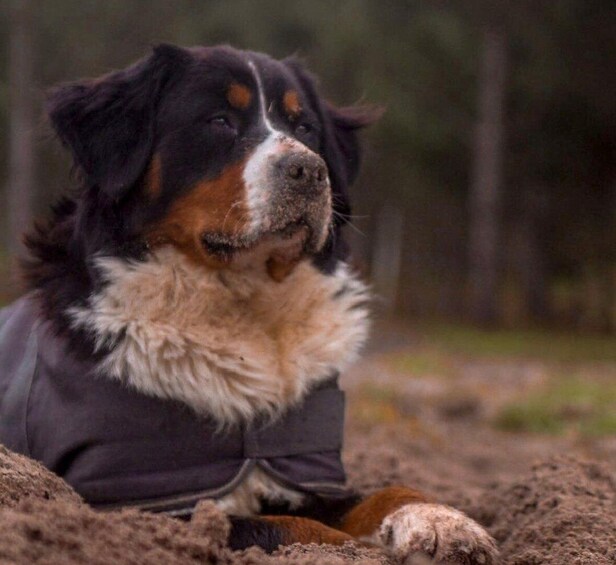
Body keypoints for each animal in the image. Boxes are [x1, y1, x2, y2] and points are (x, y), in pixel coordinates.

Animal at [0, 45, 496, 564]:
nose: (309, 170)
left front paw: (445, 522)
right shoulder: (134, 503)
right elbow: (289, 527)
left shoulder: (299, 473)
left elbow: (385, 491)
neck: (243, 305)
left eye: (305, 128)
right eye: (219, 120)